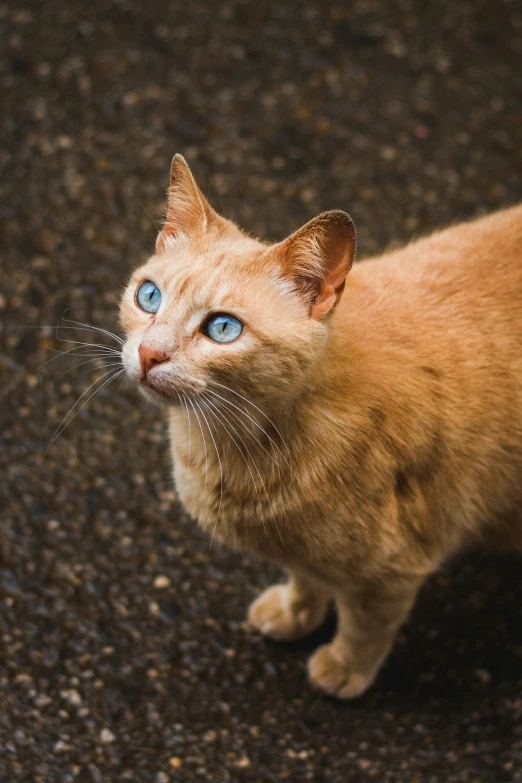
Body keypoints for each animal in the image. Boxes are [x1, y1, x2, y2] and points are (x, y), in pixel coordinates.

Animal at [120, 153, 520, 700]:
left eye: (223, 328)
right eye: (149, 296)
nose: (148, 353)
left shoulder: (393, 572)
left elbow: (365, 628)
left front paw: (344, 668)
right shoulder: (296, 547)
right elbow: (305, 577)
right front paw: (295, 614)